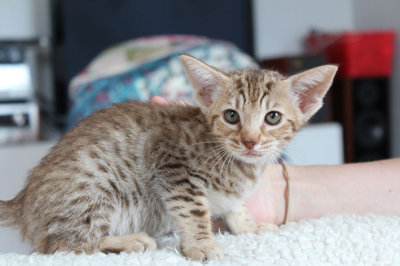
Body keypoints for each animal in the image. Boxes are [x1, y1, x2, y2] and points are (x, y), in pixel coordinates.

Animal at [0, 55, 338, 260]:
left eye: (272, 117)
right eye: (231, 116)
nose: (250, 141)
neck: (238, 164)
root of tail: (23, 201)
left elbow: (235, 207)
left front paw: (246, 226)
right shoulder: (168, 161)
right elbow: (194, 209)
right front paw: (201, 244)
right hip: (93, 188)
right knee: (62, 247)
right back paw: (128, 241)